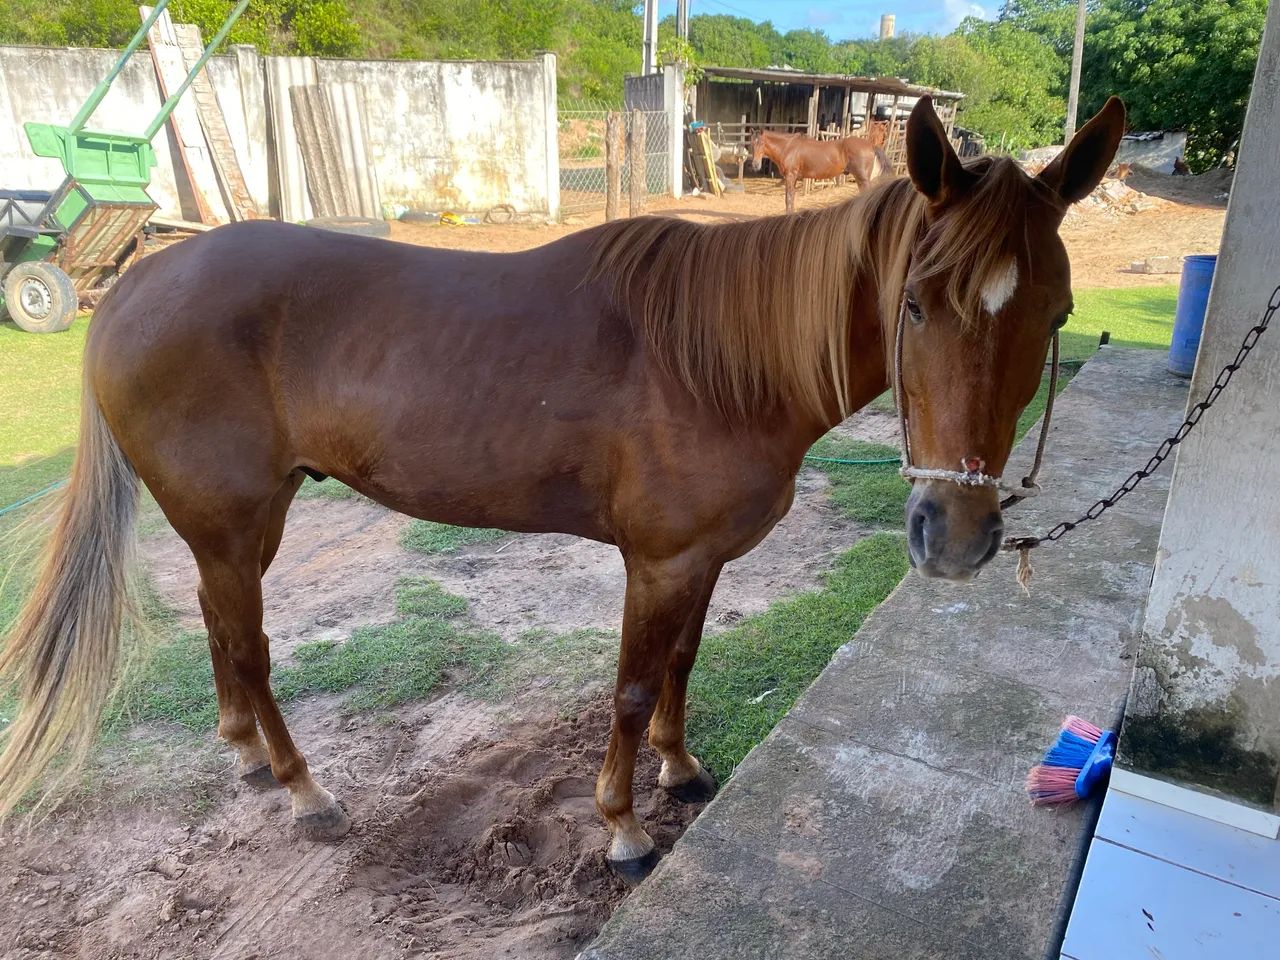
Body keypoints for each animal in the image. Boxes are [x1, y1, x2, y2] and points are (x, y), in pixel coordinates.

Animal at [750, 128, 892, 213]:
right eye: (751, 143)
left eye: (761, 143)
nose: (755, 165)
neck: (788, 147)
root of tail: (871, 146)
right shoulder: (793, 179)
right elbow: (790, 199)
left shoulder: (790, 176)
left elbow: (788, 199)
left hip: (862, 179)